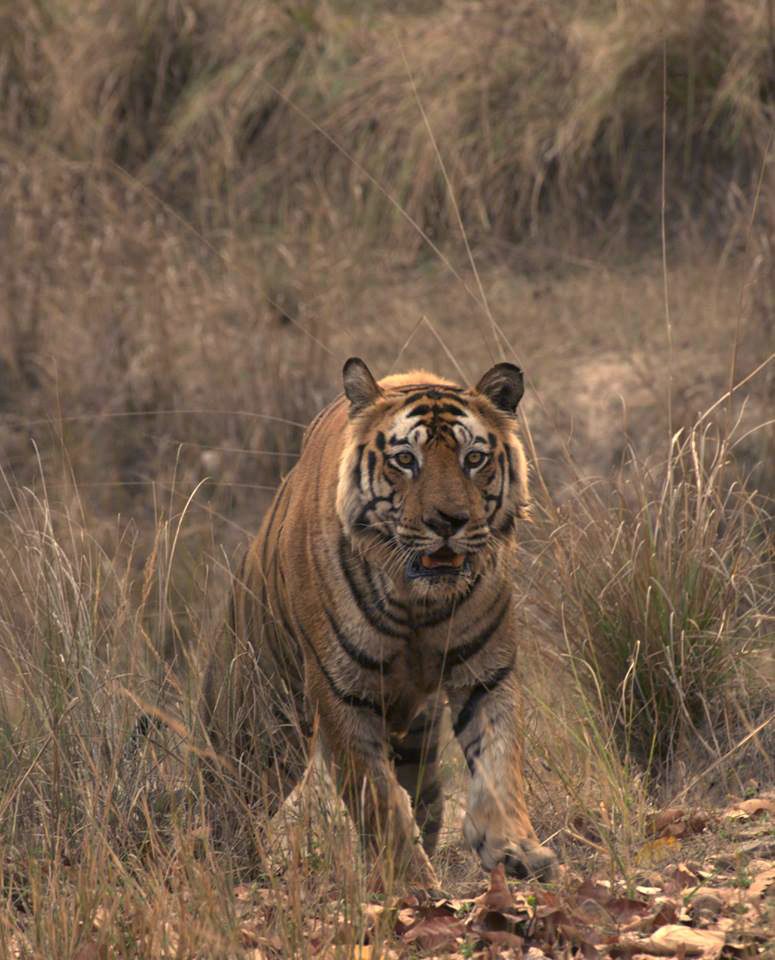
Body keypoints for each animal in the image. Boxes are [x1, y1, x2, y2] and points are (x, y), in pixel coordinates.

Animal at [203, 356, 560, 888]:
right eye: (406, 460)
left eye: (474, 458)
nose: (448, 520)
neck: (419, 604)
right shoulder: (341, 693)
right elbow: (377, 798)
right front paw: (411, 881)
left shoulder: (486, 673)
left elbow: (498, 762)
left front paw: (515, 848)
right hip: (258, 725)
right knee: (229, 800)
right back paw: (234, 870)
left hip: (416, 738)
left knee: (426, 795)